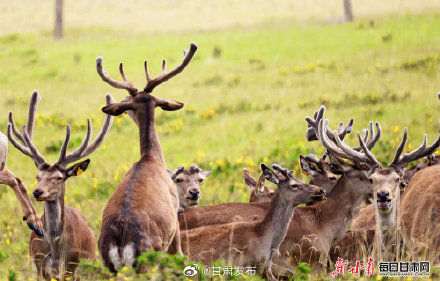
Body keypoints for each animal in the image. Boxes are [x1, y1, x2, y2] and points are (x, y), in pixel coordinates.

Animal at [7, 90, 113, 278]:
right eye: (38, 176)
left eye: (59, 177)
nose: (37, 192)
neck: (56, 248)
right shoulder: (39, 265)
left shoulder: (72, 266)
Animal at [97, 42, 199, 272]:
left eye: (129, 100)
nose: (122, 102)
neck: (152, 158)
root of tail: (121, 242)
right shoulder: (175, 219)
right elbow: (182, 256)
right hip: (150, 255)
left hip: (107, 264)